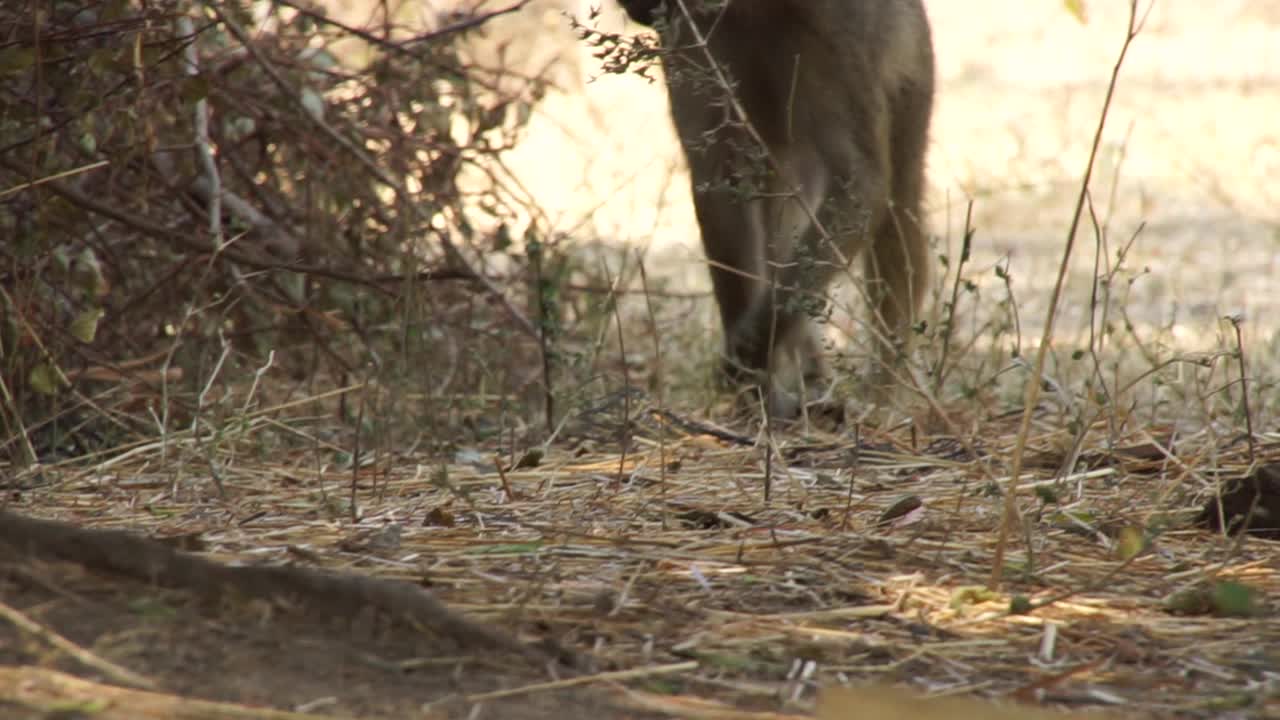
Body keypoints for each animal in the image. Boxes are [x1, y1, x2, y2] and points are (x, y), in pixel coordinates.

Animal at [614, 1, 936, 415]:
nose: (635, 9)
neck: (757, 11)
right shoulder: (693, 33)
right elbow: (721, 178)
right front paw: (752, 378)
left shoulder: (835, 32)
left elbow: (861, 185)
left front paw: (753, 348)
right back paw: (808, 377)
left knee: (899, 205)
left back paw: (883, 396)